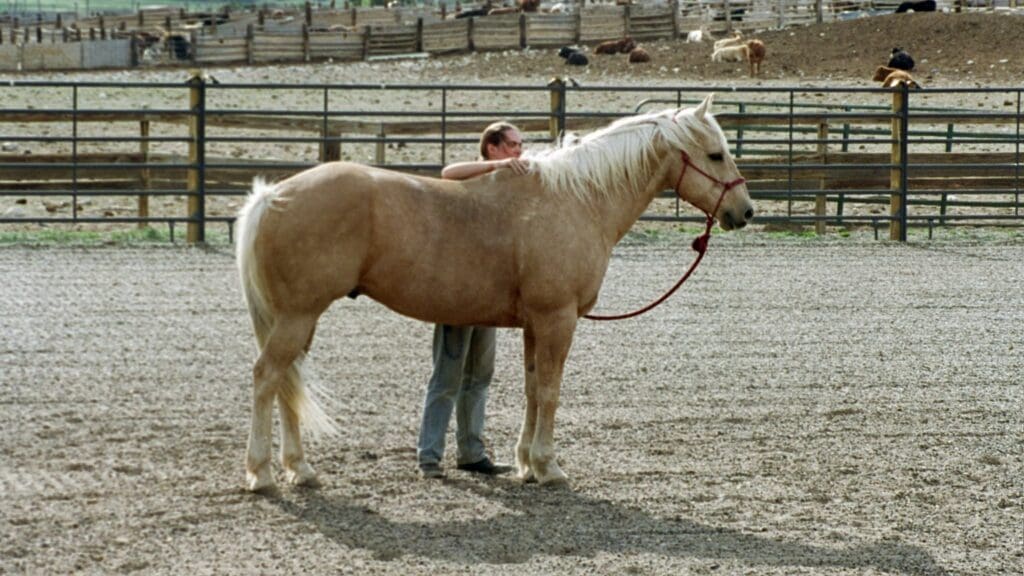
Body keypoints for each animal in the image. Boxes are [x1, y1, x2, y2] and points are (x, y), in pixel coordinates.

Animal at [235, 95, 754, 492]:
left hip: (298, 319)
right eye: (715, 154)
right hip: (297, 317)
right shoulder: (558, 319)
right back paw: (261, 475)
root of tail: (271, 197)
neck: (578, 199)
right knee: (267, 377)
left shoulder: (535, 324)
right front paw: (549, 467)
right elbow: (550, 391)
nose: (745, 211)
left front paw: (526, 464)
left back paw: (300, 469)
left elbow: (532, 389)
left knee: (287, 383)